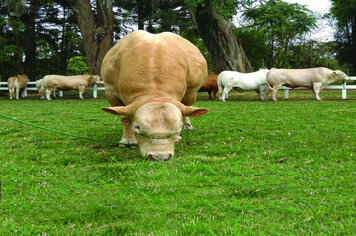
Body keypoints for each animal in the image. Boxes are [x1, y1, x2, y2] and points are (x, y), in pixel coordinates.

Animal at [100, 30, 209, 160]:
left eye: (178, 129)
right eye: (138, 128)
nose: (160, 156)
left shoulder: (192, 90)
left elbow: (186, 109)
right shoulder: (110, 92)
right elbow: (124, 118)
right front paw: (128, 139)